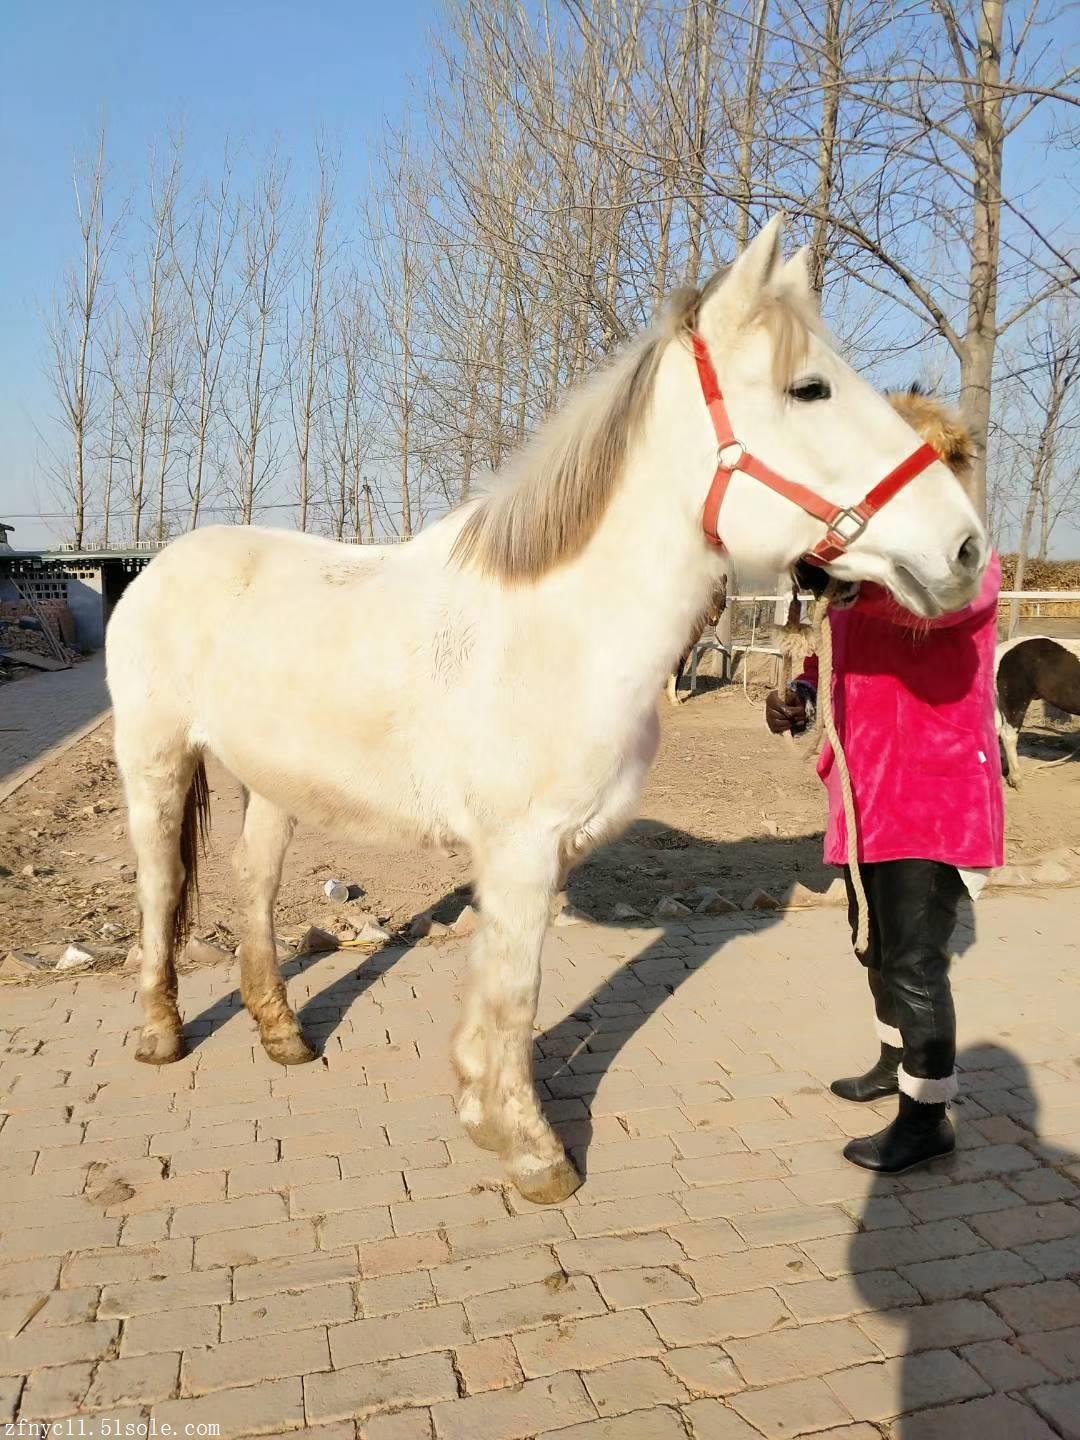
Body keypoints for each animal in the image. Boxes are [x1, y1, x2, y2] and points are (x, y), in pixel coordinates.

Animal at [108, 216, 990, 1203]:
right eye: (810, 388)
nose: (965, 549)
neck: (561, 627)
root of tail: (160, 563)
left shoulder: (541, 854)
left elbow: (503, 986)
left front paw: (484, 1108)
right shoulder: (520, 849)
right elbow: (515, 990)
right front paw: (535, 1152)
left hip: (273, 781)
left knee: (254, 884)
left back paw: (283, 1034)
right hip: (155, 762)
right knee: (162, 887)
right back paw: (160, 1034)